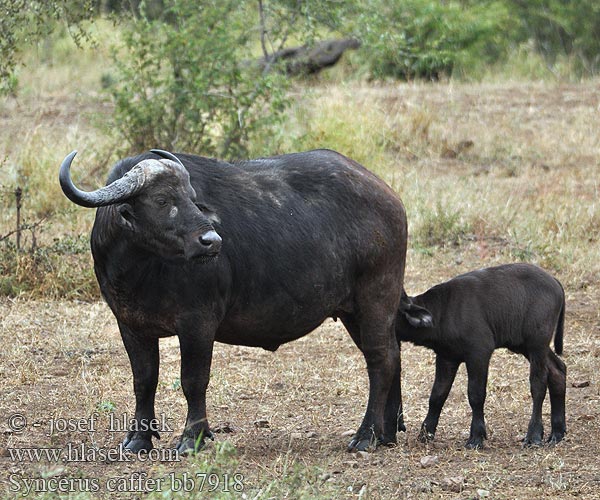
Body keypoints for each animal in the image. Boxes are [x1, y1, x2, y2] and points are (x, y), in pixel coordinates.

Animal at [59, 147, 408, 454]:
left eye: (192, 199)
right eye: (162, 200)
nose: (211, 240)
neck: (140, 269)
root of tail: (389, 198)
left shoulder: (197, 323)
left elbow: (193, 381)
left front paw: (193, 439)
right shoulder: (130, 324)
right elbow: (144, 380)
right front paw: (138, 439)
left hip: (377, 296)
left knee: (381, 358)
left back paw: (367, 435)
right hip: (353, 311)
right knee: (393, 354)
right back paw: (388, 432)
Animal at [398, 266, 568, 450]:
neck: (444, 310)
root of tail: (556, 282)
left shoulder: (479, 354)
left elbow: (476, 394)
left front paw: (476, 437)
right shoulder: (446, 357)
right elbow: (438, 394)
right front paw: (425, 433)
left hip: (537, 344)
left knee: (538, 384)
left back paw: (534, 435)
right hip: (525, 345)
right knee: (558, 370)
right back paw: (557, 433)